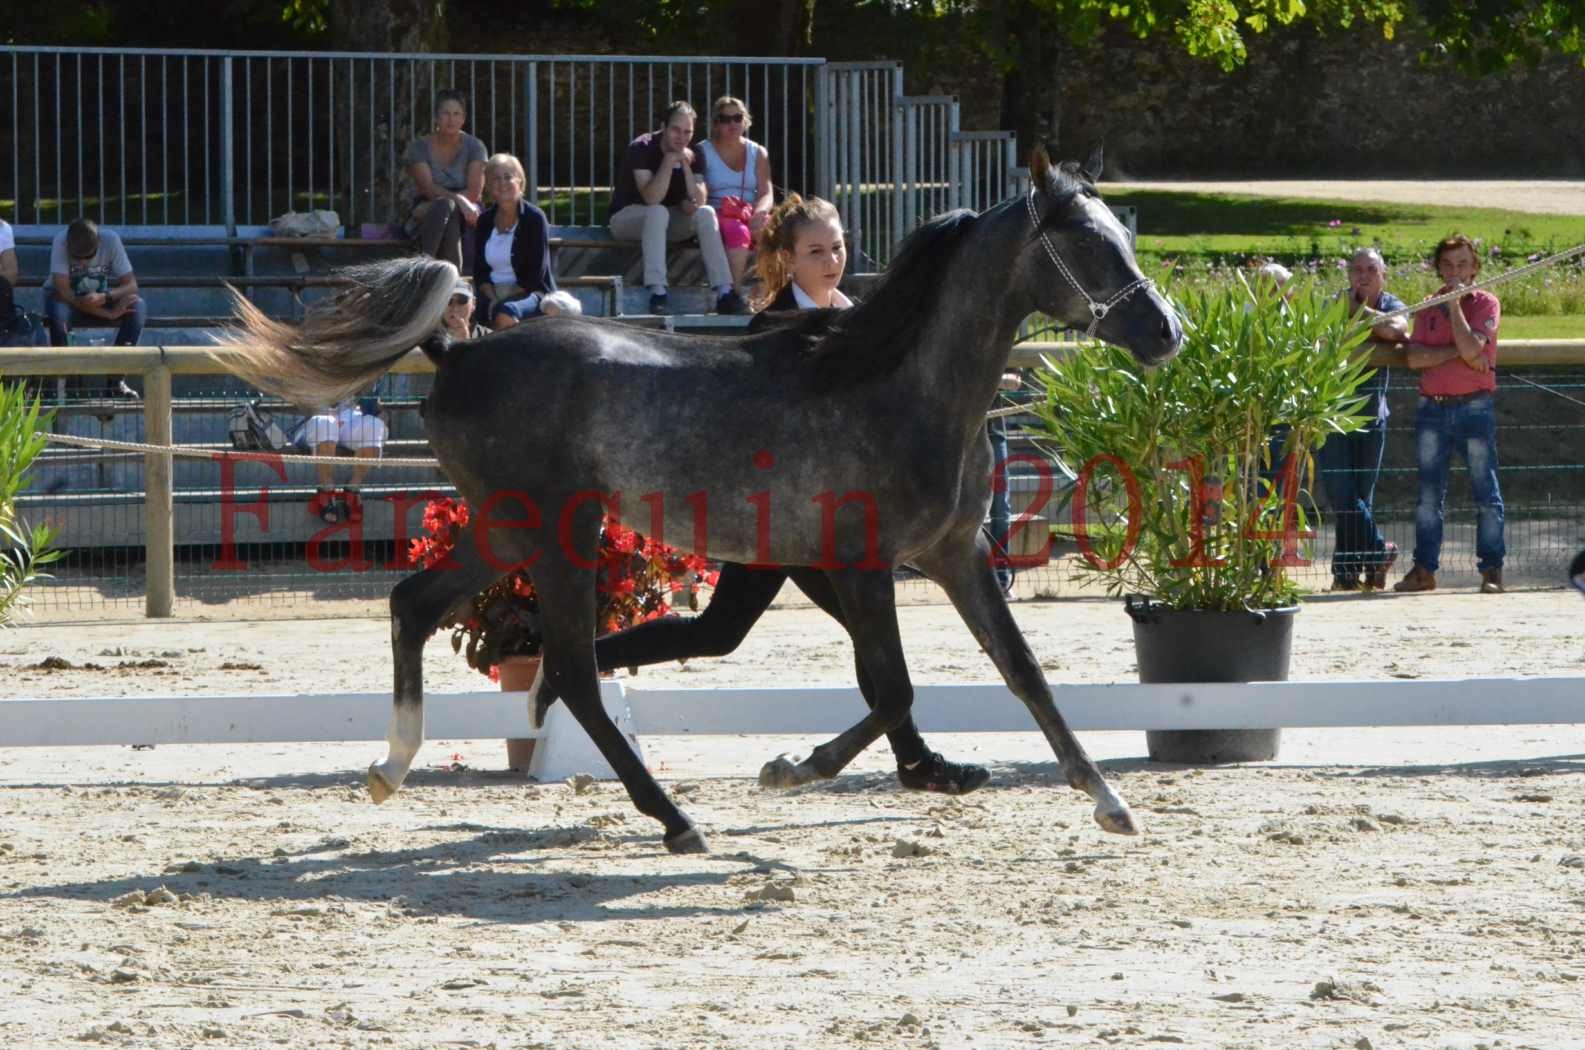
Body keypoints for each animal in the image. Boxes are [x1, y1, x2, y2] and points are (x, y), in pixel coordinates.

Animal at [220, 149, 1179, 856]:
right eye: (1087, 247)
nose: (1166, 332)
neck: (899, 388)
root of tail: (459, 349)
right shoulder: (863, 564)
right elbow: (894, 688)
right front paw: (793, 767)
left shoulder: (956, 556)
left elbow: (1021, 672)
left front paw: (1107, 802)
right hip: (557, 535)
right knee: (570, 669)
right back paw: (674, 818)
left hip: (506, 529)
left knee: (417, 606)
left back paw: (391, 768)